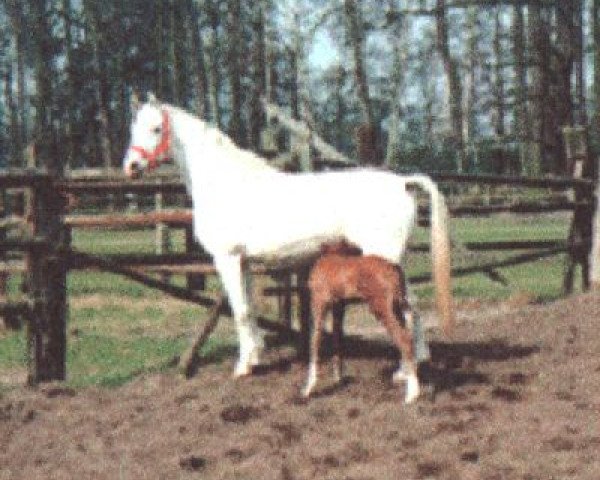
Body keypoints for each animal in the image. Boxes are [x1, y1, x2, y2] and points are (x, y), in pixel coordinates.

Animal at [122, 94, 452, 378]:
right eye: (134, 128)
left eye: (156, 129)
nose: (131, 167)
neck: (225, 184)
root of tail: (402, 183)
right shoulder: (244, 262)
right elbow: (250, 309)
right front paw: (255, 356)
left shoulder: (227, 258)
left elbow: (240, 310)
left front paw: (243, 367)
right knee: (412, 304)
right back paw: (418, 361)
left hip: (384, 257)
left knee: (405, 306)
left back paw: (405, 370)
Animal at [302, 242, 424, 404]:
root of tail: (394, 267)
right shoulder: (338, 305)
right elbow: (337, 338)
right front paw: (338, 378)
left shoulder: (319, 302)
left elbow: (314, 340)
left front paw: (308, 388)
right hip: (397, 308)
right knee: (409, 335)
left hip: (382, 310)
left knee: (404, 340)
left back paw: (411, 394)